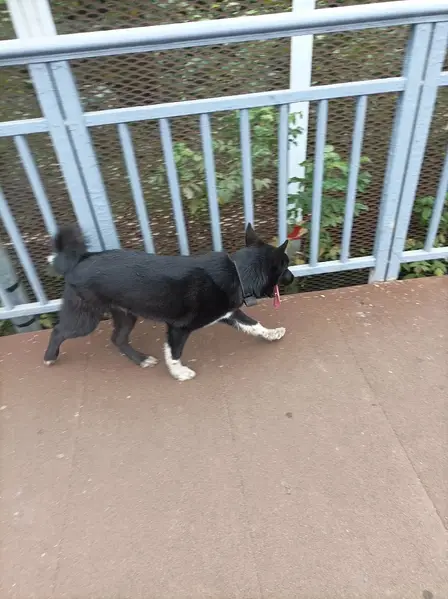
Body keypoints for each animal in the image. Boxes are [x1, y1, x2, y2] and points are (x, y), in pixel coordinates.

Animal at [44, 223, 294, 381]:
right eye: (286, 266)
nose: (293, 277)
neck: (238, 272)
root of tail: (79, 260)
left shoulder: (230, 314)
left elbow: (255, 325)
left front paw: (272, 333)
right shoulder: (178, 328)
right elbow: (174, 354)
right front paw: (179, 373)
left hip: (126, 314)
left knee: (118, 339)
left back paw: (141, 359)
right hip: (86, 318)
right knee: (58, 331)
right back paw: (49, 357)